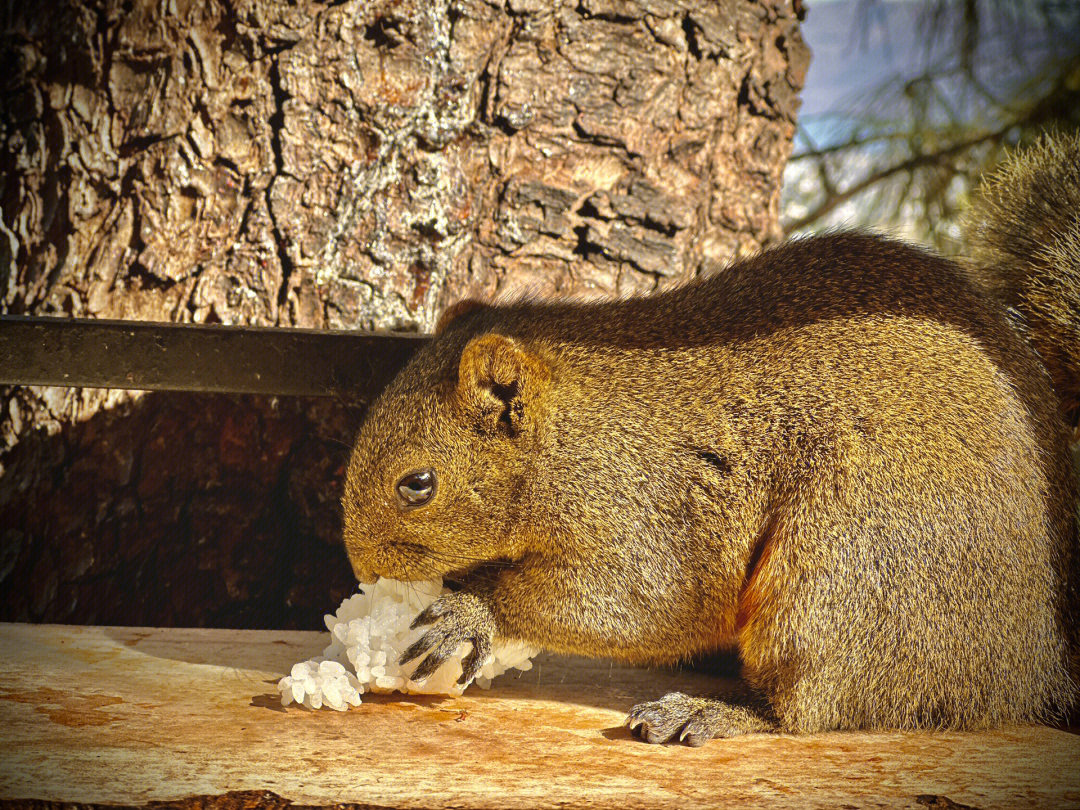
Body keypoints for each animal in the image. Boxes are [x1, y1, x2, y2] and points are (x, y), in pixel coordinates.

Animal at [339, 133, 1080, 747]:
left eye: (417, 484)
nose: (364, 571)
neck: (572, 440)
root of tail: (1036, 666)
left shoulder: (648, 515)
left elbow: (628, 604)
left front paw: (470, 611)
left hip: (850, 573)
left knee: (811, 705)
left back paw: (713, 712)